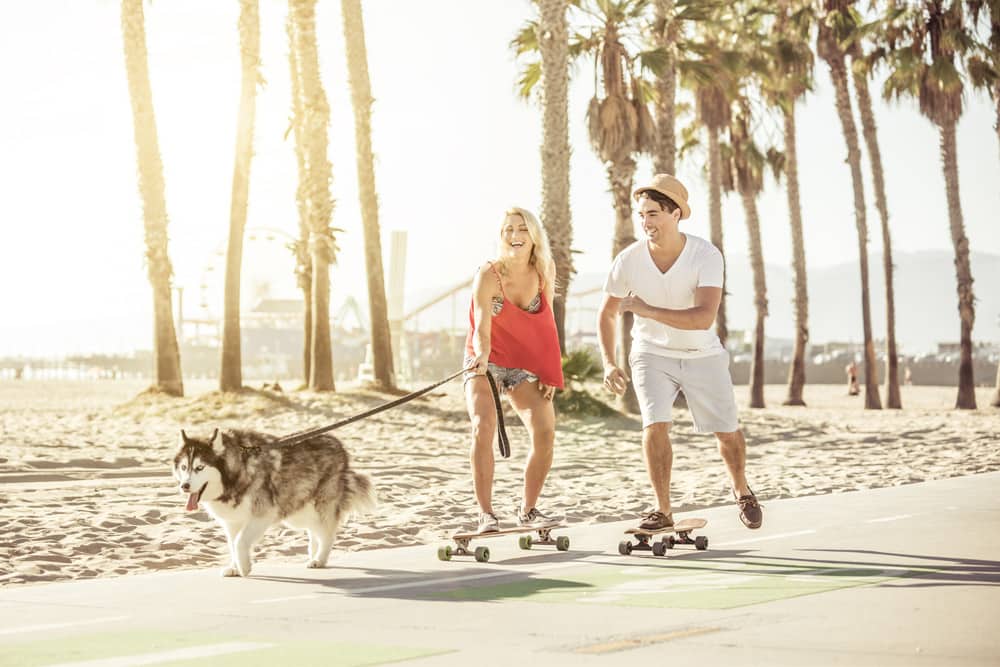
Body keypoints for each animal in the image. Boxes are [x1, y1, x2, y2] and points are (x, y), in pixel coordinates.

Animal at [172, 430, 376, 576]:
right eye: (184, 467)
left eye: (200, 467)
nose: (185, 486)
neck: (237, 474)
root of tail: (338, 443)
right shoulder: (232, 521)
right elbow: (232, 544)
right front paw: (235, 567)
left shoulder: (263, 514)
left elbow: (239, 542)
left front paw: (244, 568)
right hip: (298, 509)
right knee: (315, 531)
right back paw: (313, 554)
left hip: (321, 505)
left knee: (327, 533)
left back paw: (320, 559)